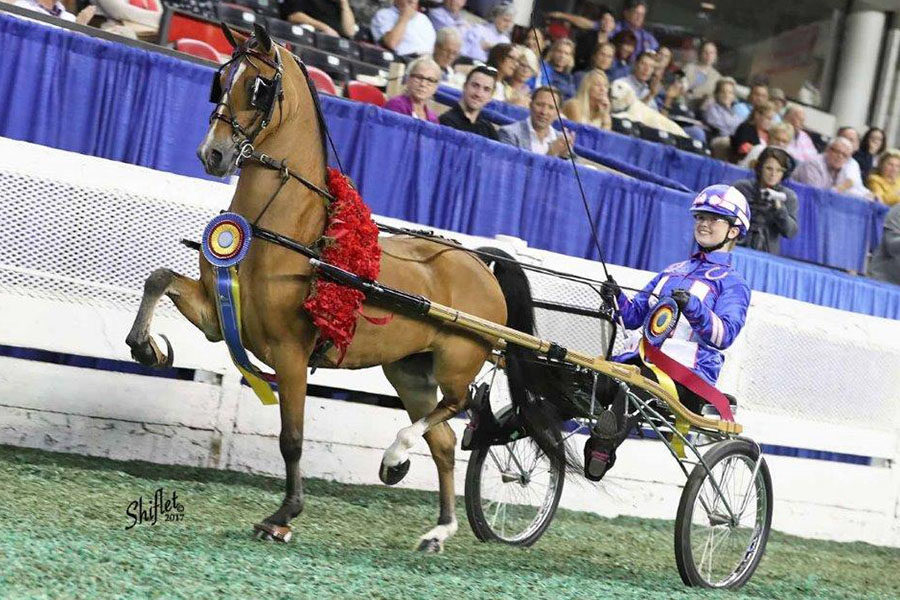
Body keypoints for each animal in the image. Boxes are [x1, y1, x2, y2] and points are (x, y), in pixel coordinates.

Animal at [126, 24, 536, 552]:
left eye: (258, 87)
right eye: (221, 80)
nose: (212, 154)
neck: (285, 233)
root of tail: (479, 262)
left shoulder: (290, 353)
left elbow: (292, 438)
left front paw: (282, 516)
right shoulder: (219, 316)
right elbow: (158, 279)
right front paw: (147, 348)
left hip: (456, 362)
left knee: (458, 405)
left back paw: (395, 456)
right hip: (409, 372)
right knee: (444, 443)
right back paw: (438, 529)